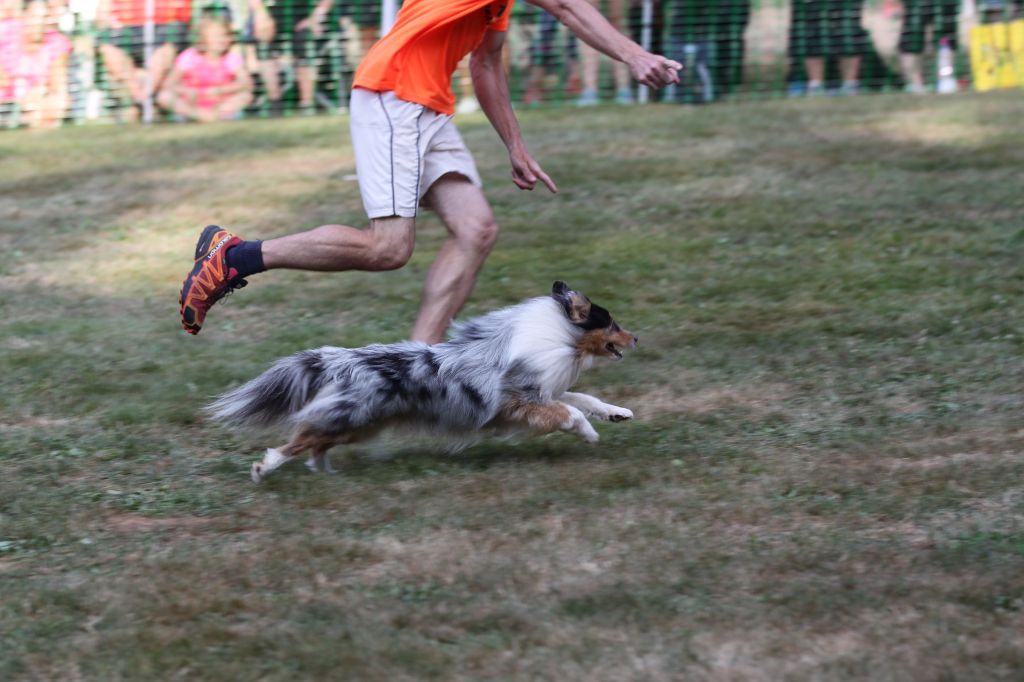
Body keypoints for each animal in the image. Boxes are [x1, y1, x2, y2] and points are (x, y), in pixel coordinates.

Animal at [206, 278, 634, 481]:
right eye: (612, 322)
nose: (637, 338)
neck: (561, 334)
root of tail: (340, 359)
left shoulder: (543, 390)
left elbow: (583, 399)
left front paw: (618, 413)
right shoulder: (521, 402)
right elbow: (569, 412)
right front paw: (590, 435)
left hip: (357, 425)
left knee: (315, 442)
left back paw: (325, 472)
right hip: (354, 417)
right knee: (298, 440)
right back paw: (265, 469)